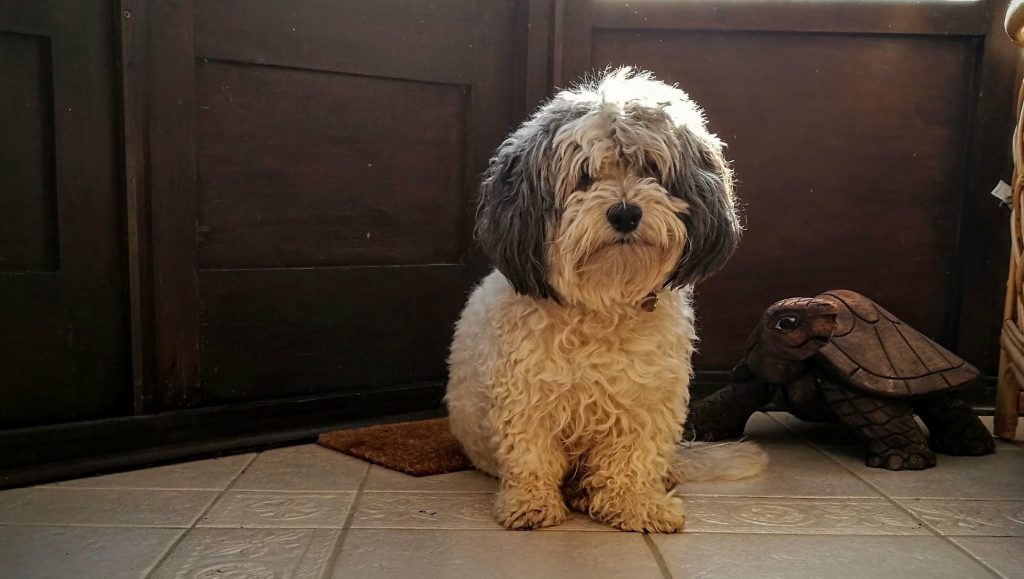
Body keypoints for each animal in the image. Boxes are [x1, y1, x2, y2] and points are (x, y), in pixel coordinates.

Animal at [444, 68, 765, 532]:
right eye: (584, 176)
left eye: (651, 168)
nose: (625, 213)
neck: (603, 303)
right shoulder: (528, 398)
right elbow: (531, 456)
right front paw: (530, 503)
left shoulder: (647, 402)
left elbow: (631, 461)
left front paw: (635, 504)